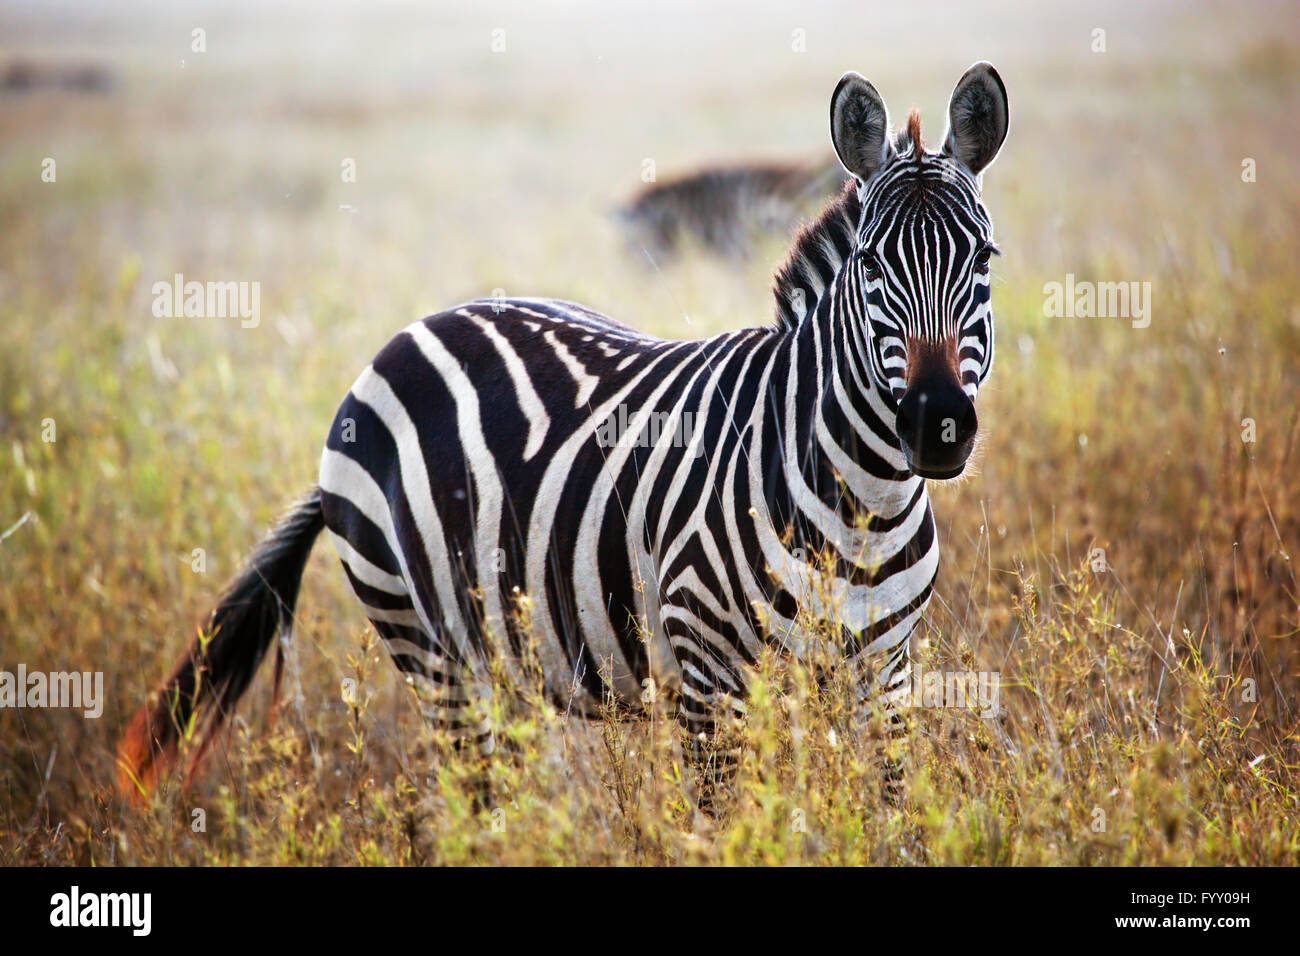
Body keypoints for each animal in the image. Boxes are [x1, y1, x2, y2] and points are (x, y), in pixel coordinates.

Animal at [119, 61, 1003, 806]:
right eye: (871, 264)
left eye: (985, 259)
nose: (936, 426)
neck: (863, 503)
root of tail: (405, 337)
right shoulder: (708, 677)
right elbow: (728, 824)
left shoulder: (883, 678)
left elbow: (882, 815)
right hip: (431, 650)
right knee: (475, 804)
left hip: (504, 659)